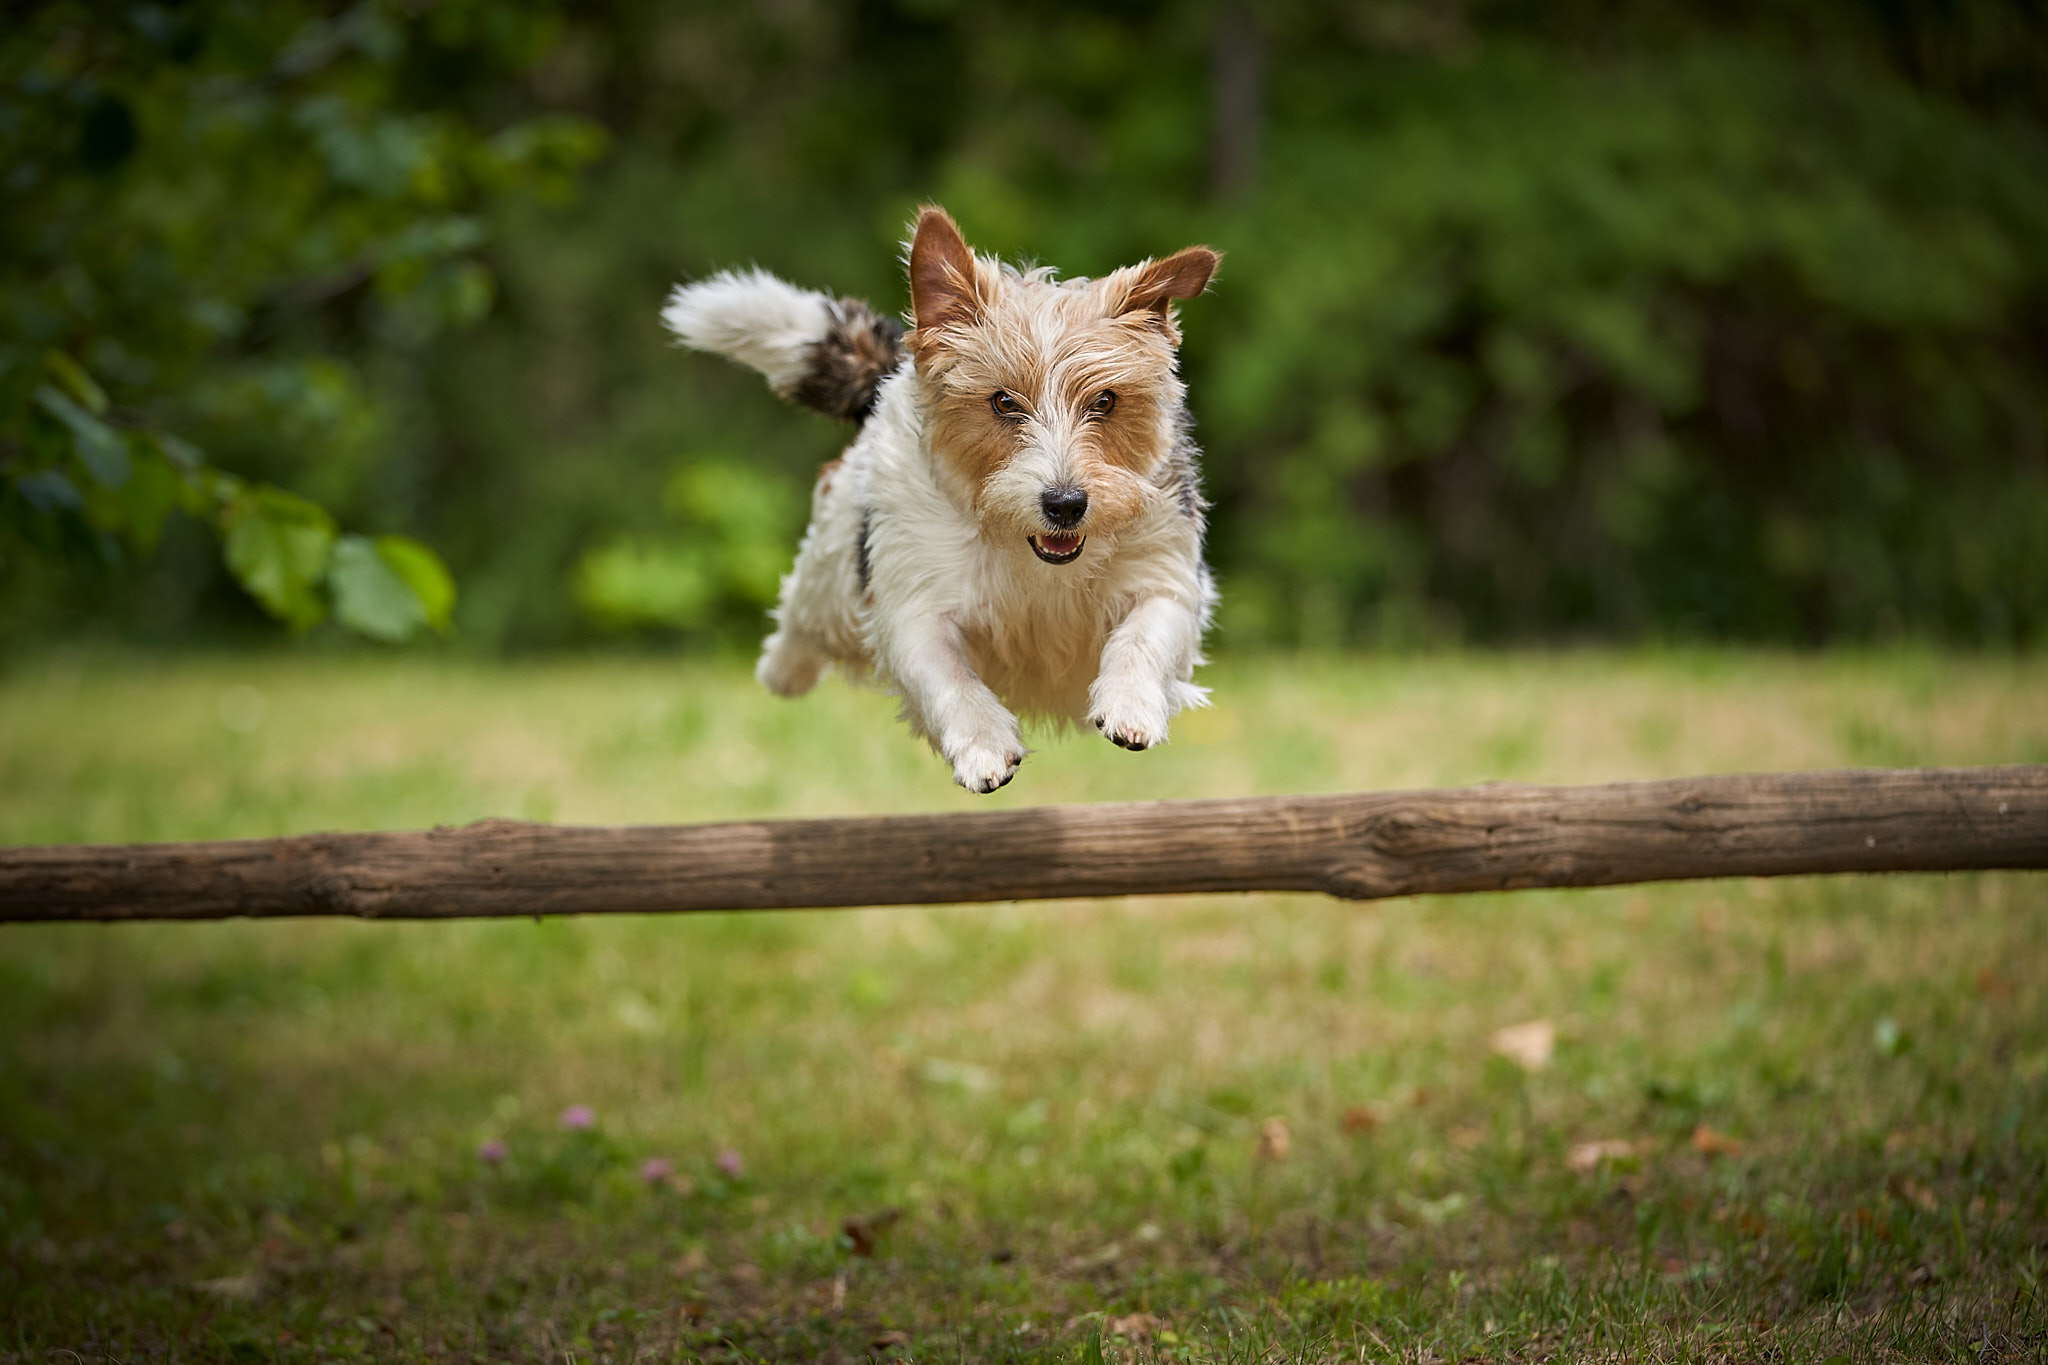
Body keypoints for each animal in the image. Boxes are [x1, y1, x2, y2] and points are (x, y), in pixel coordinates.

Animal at [667, 208, 1212, 794]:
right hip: (833, 577)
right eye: (1003, 402)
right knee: (801, 609)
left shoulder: (1165, 574)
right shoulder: (916, 606)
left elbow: (1143, 636)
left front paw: (1131, 706)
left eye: (1105, 401)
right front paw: (984, 747)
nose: (1065, 504)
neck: (1028, 556)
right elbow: (950, 678)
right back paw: (784, 670)